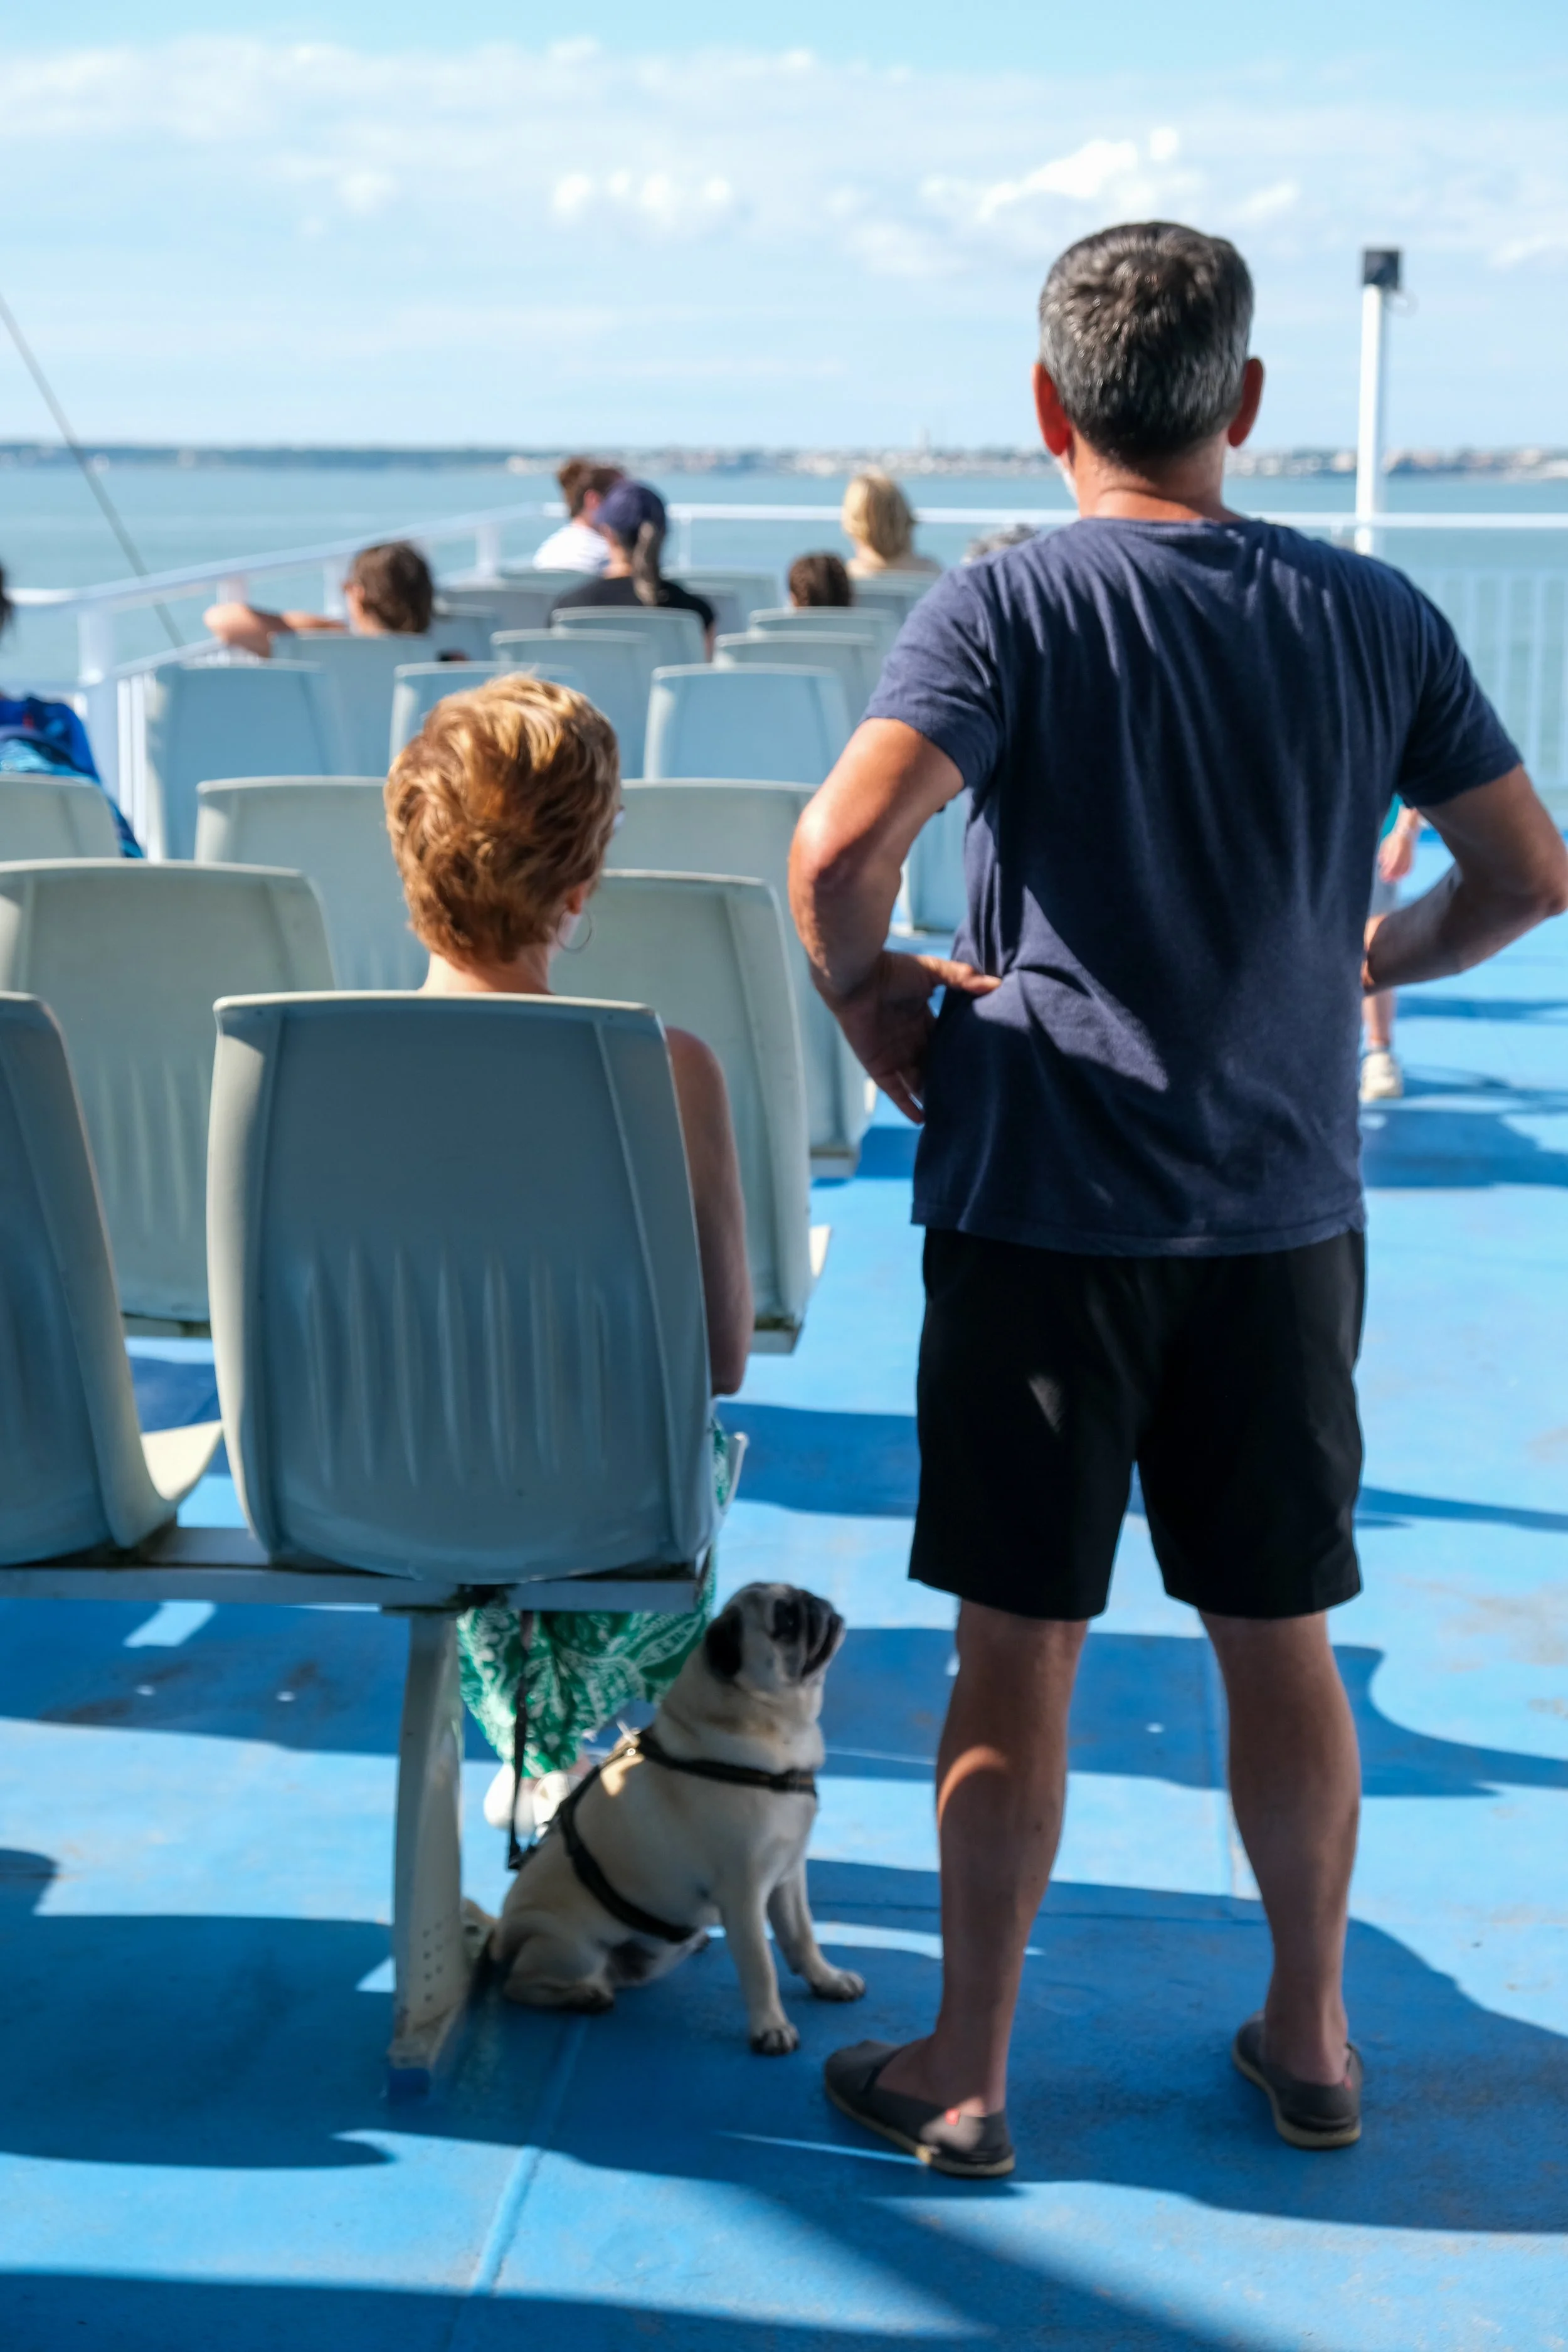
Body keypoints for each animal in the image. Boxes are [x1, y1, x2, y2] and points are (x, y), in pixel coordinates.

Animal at [479, 1582, 865, 2053]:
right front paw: (771, 2027)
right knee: (518, 1985)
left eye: (800, 1598)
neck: (766, 1730)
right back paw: (584, 1996)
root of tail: (504, 1936)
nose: (814, 1603)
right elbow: (760, 1965)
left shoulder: (789, 1876)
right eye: (786, 1621)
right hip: (572, 1947)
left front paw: (827, 1981)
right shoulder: (743, 1895)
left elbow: (802, 1939)